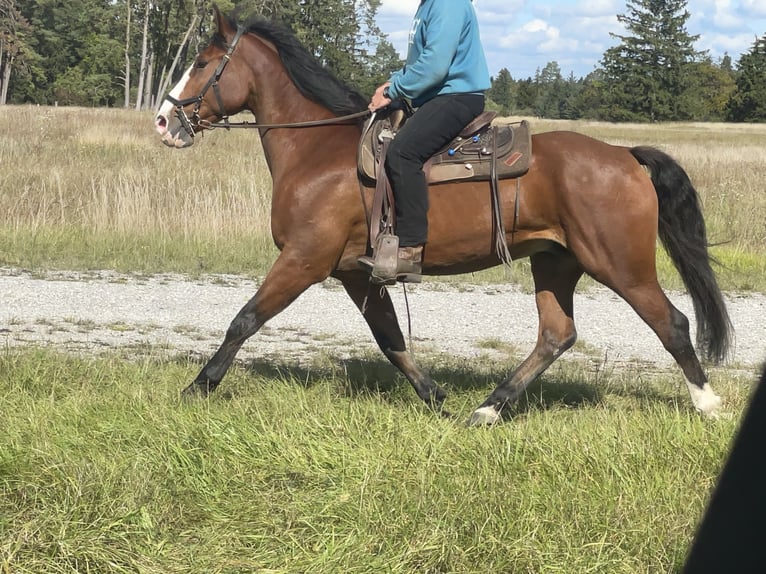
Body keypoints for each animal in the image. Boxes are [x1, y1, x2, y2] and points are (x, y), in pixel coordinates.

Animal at [153, 6, 736, 426]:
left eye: (201, 64)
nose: (163, 120)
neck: (317, 151)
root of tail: (624, 155)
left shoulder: (304, 261)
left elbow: (244, 319)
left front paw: (198, 386)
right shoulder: (355, 273)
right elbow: (390, 339)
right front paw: (434, 396)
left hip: (620, 265)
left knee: (672, 323)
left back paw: (707, 404)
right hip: (555, 262)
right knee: (556, 335)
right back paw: (488, 409)